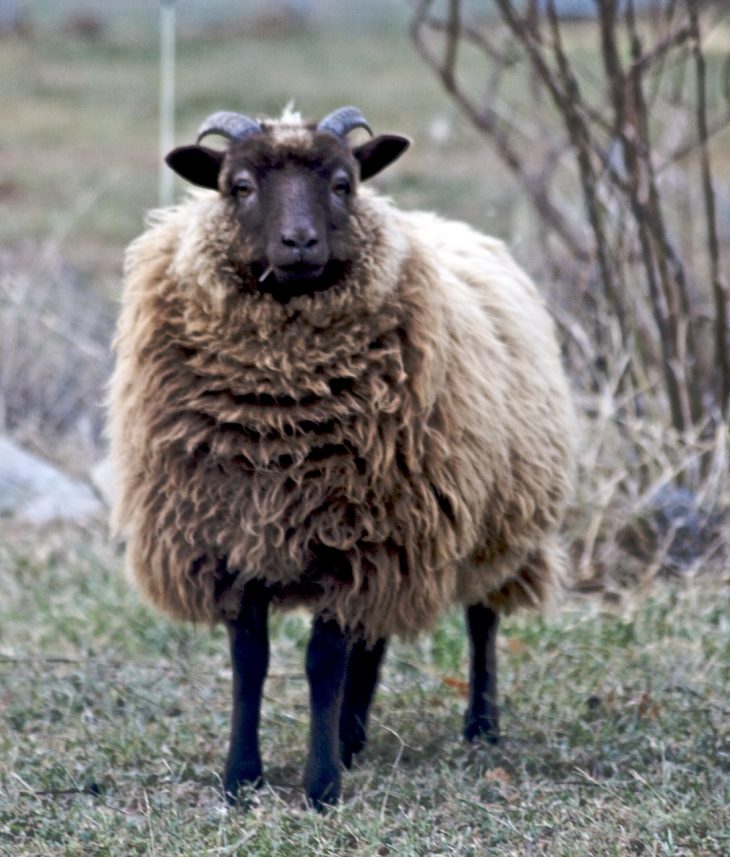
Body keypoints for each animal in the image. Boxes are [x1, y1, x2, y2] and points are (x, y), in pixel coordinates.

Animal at [108, 107, 576, 808]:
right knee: (373, 638)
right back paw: (354, 735)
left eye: (343, 183)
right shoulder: (237, 535)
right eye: (238, 185)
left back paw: (480, 726)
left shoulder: (354, 538)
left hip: (495, 515)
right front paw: (241, 778)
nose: (300, 243)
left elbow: (322, 662)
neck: (278, 413)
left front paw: (321, 785)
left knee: (482, 618)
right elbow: (252, 660)